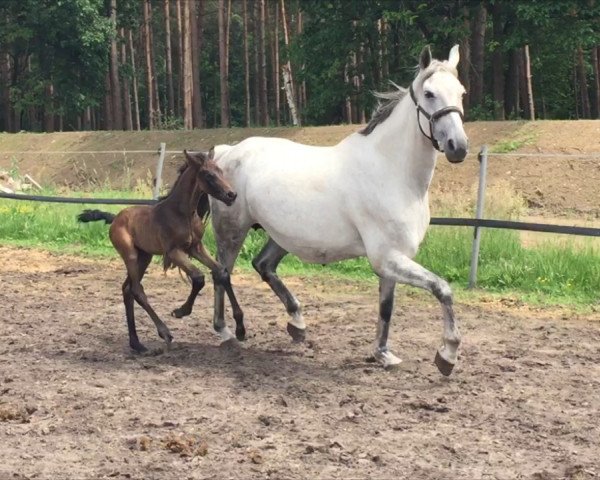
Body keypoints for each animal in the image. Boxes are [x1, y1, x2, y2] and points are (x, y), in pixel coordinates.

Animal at [78, 149, 245, 352]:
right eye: (208, 175)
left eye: (220, 171)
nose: (231, 195)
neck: (182, 213)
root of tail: (115, 217)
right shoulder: (173, 251)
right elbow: (198, 277)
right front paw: (181, 311)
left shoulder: (195, 248)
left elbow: (222, 272)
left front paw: (240, 329)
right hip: (130, 255)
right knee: (137, 290)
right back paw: (164, 332)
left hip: (145, 256)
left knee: (127, 289)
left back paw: (137, 343)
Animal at [211, 45, 468, 376]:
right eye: (429, 93)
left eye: (461, 93)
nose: (458, 146)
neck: (392, 171)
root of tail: (227, 151)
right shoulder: (386, 257)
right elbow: (442, 289)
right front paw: (447, 354)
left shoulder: (392, 260)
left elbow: (387, 307)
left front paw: (383, 354)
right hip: (231, 231)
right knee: (222, 273)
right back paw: (225, 331)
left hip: (281, 236)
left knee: (263, 265)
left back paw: (297, 324)